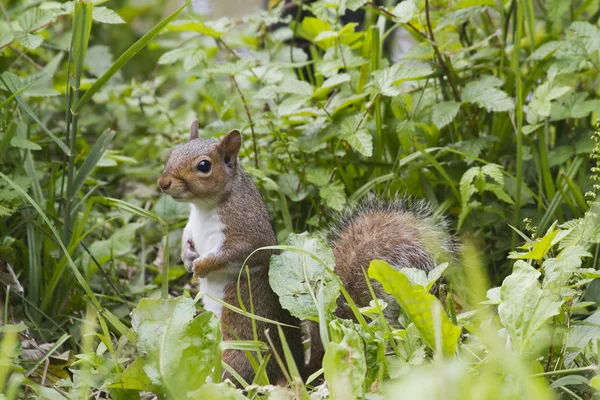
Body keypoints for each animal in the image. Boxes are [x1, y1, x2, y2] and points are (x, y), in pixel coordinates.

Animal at [157, 120, 458, 386]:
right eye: (171, 153)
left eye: (204, 166)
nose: (163, 183)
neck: (204, 208)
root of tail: (295, 374)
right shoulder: (192, 226)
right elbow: (186, 237)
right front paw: (187, 257)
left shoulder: (247, 231)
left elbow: (236, 254)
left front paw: (202, 267)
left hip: (240, 351)